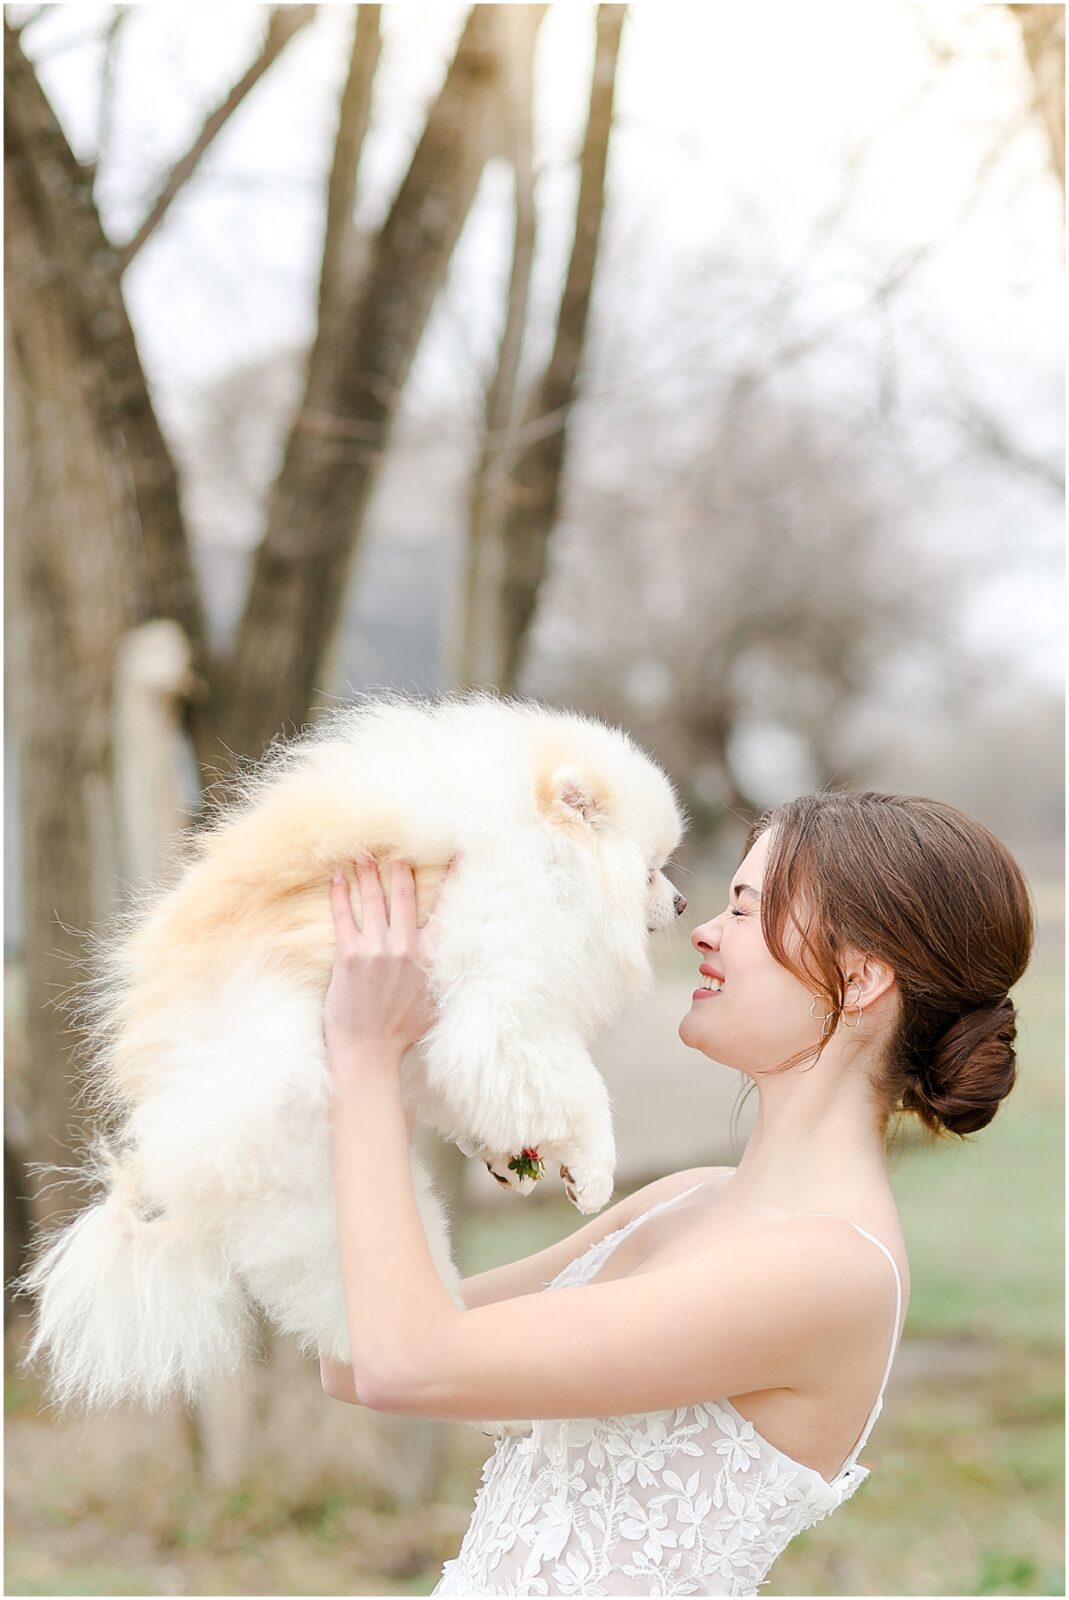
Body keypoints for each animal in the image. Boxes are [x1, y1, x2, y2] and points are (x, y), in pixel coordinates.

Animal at [20, 691, 688, 1414]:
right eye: (651, 870)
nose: (682, 903)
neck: (544, 850)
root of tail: (158, 1149)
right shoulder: (506, 995)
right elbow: (573, 1089)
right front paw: (593, 1173)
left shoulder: (456, 1027)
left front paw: (515, 1159)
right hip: (310, 1175)